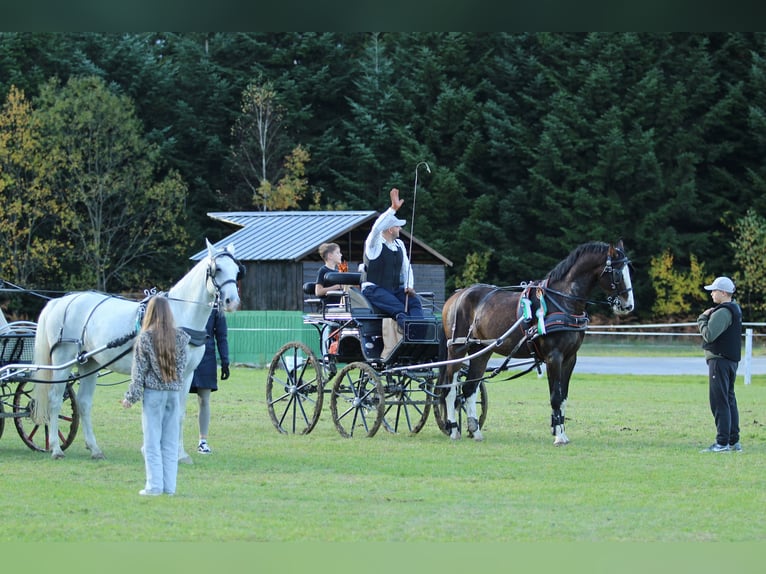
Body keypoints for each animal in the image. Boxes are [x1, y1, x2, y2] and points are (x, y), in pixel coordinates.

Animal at [31, 239, 243, 460]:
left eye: (237, 271)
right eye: (217, 269)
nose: (232, 301)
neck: (180, 316)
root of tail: (60, 301)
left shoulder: (187, 374)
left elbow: (179, 413)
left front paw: (179, 454)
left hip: (89, 363)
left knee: (84, 402)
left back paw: (95, 449)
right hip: (63, 359)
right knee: (55, 399)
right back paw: (56, 448)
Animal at [438, 240, 635, 445]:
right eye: (617, 273)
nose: (628, 305)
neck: (562, 301)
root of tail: (457, 295)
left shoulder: (570, 358)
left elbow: (563, 397)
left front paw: (560, 431)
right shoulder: (553, 357)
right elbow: (555, 397)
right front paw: (559, 436)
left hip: (481, 350)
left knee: (469, 389)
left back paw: (475, 431)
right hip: (457, 349)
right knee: (450, 389)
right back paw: (454, 429)